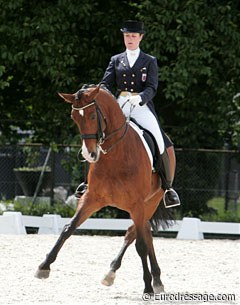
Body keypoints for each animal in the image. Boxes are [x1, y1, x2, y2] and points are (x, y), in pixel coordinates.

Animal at [34, 82, 173, 292]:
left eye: (92, 116)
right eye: (74, 117)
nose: (89, 154)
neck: (116, 154)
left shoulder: (137, 204)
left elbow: (140, 245)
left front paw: (147, 287)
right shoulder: (92, 198)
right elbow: (68, 228)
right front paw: (44, 266)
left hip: (151, 202)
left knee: (136, 234)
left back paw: (151, 280)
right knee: (144, 232)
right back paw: (129, 275)